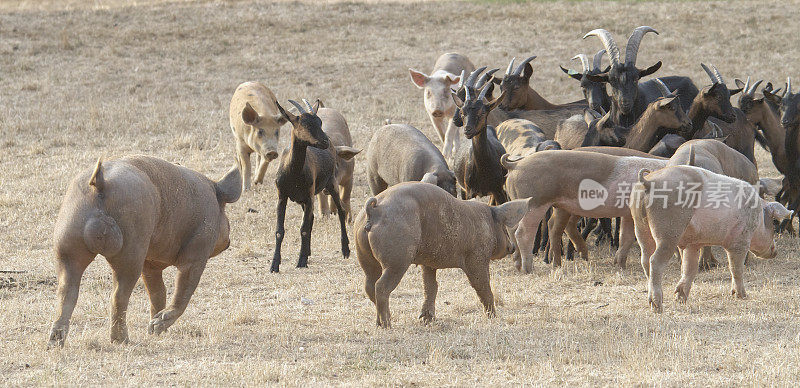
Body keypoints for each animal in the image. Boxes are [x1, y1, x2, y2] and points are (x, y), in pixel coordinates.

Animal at [46, 155, 239, 346]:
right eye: (225, 213)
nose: (228, 241)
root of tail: (100, 183)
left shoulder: (150, 263)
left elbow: (158, 292)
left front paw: (154, 330)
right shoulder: (198, 250)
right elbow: (183, 289)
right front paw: (157, 326)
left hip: (67, 242)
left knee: (66, 290)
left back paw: (55, 343)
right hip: (130, 249)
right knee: (118, 295)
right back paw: (122, 340)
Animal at [270, 99, 354, 272]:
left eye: (320, 122)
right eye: (305, 124)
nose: (325, 141)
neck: (293, 172)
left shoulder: (309, 197)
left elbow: (303, 228)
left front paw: (301, 261)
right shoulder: (282, 197)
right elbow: (280, 231)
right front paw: (275, 264)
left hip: (331, 184)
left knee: (341, 211)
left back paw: (345, 250)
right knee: (312, 218)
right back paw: (307, 252)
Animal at [354, 182, 532, 328]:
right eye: (503, 226)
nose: (512, 248)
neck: (487, 221)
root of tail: (374, 209)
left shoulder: (428, 262)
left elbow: (431, 286)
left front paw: (427, 320)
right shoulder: (476, 257)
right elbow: (482, 285)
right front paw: (493, 318)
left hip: (364, 255)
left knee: (369, 284)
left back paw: (380, 323)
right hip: (397, 259)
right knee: (381, 286)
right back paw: (387, 324)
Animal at [632, 164, 792, 312]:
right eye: (773, 223)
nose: (775, 252)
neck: (758, 217)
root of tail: (648, 182)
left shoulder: (693, 244)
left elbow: (690, 268)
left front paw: (680, 299)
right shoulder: (739, 242)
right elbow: (736, 269)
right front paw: (742, 296)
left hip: (640, 226)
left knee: (645, 259)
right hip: (668, 231)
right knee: (655, 261)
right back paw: (657, 306)